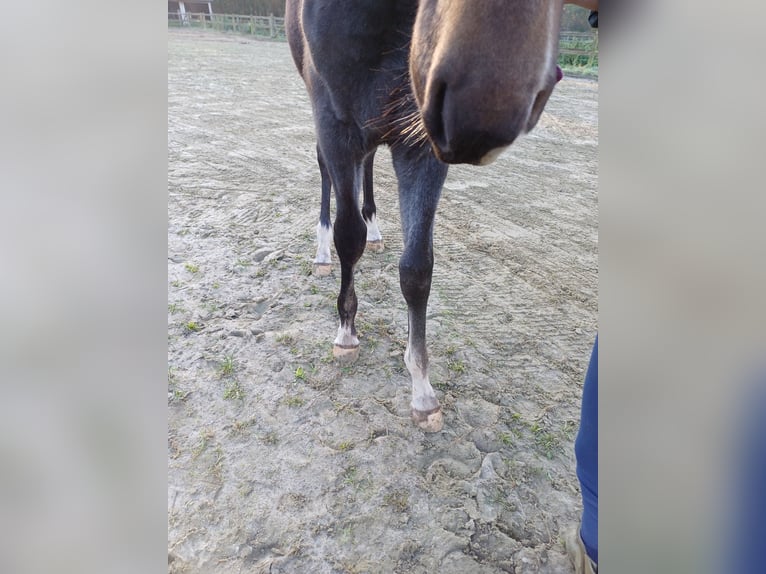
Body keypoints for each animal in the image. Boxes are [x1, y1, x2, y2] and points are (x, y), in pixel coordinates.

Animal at [288, 0, 564, 432]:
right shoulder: (336, 126)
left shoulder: (421, 142)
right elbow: (348, 238)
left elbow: (417, 269)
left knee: (368, 162)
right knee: (327, 174)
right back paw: (322, 251)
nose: (487, 100)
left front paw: (421, 388)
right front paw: (346, 331)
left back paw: (375, 228)